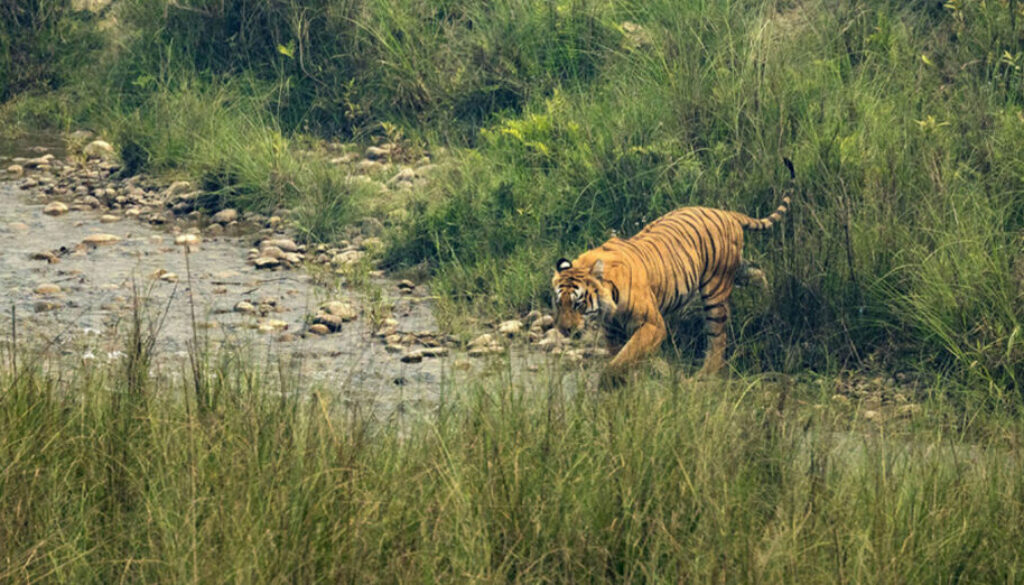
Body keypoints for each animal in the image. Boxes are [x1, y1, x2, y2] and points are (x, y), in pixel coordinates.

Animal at [552, 159, 794, 385]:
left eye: (578, 304)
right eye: (558, 304)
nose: (565, 330)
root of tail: (726, 213)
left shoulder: (653, 325)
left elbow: (624, 357)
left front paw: (609, 383)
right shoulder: (612, 331)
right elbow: (621, 358)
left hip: (715, 290)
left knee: (717, 337)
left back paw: (706, 373)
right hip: (735, 269)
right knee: (758, 271)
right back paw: (766, 300)